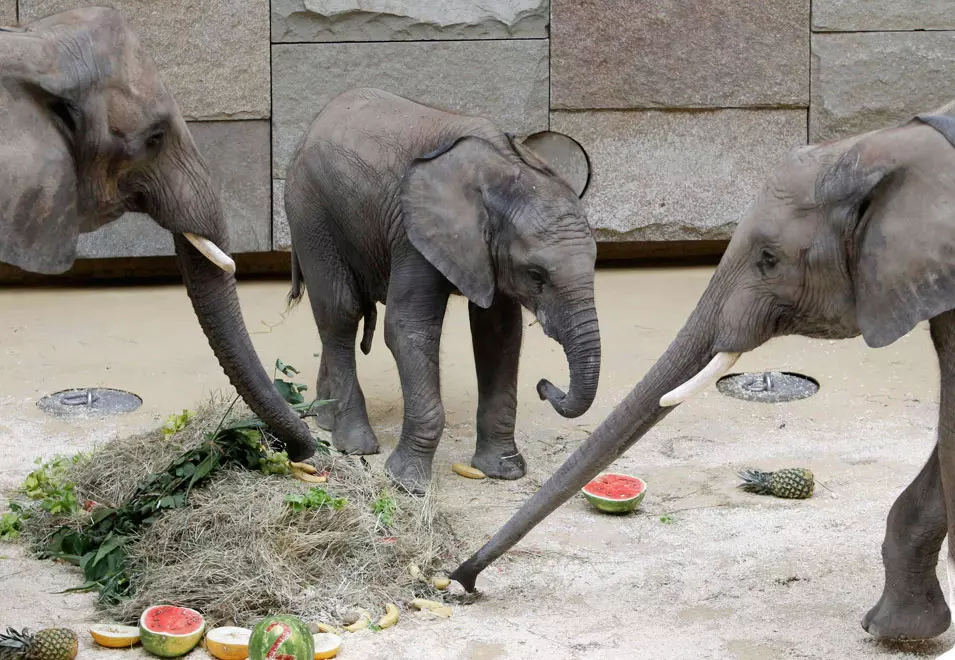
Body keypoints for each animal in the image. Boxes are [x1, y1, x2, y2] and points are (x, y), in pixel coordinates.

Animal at [280, 87, 600, 496]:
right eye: (536, 274)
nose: (545, 386)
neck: (508, 169)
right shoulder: (412, 232)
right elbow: (408, 329)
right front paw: (406, 483)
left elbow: (499, 335)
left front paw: (503, 470)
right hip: (311, 212)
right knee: (341, 311)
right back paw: (355, 444)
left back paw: (324, 420)